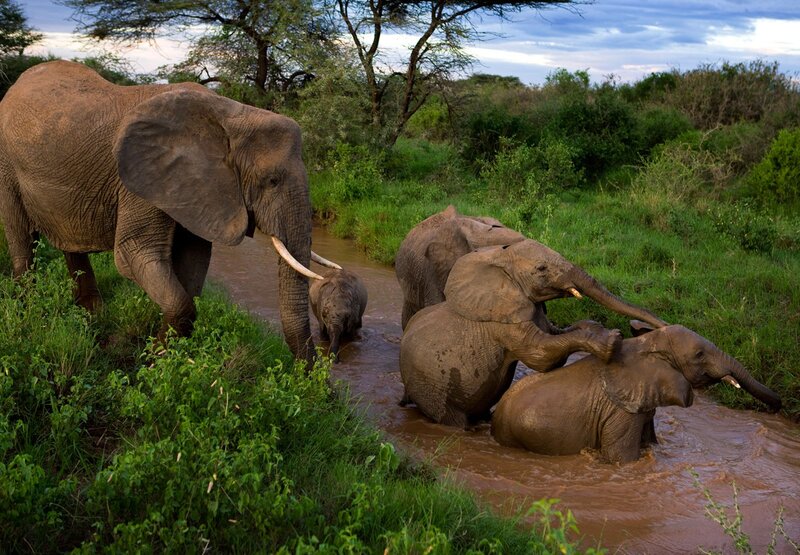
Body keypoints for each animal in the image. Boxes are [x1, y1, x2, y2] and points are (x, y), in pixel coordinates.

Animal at [0, 60, 337, 362]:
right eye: (272, 181)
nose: (313, 377)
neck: (232, 116)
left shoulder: (196, 189)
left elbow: (192, 263)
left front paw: (163, 356)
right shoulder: (143, 181)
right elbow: (135, 255)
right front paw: (153, 360)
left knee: (70, 244)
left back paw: (91, 315)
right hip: (6, 162)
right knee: (22, 239)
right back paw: (29, 314)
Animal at [399, 239, 669, 428]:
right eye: (541, 268)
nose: (663, 325)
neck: (500, 258)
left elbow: (556, 333)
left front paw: (595, 327)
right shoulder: (504, 320)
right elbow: (541, 355)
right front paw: (611, 341)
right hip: (433, 388)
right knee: (451, 419)